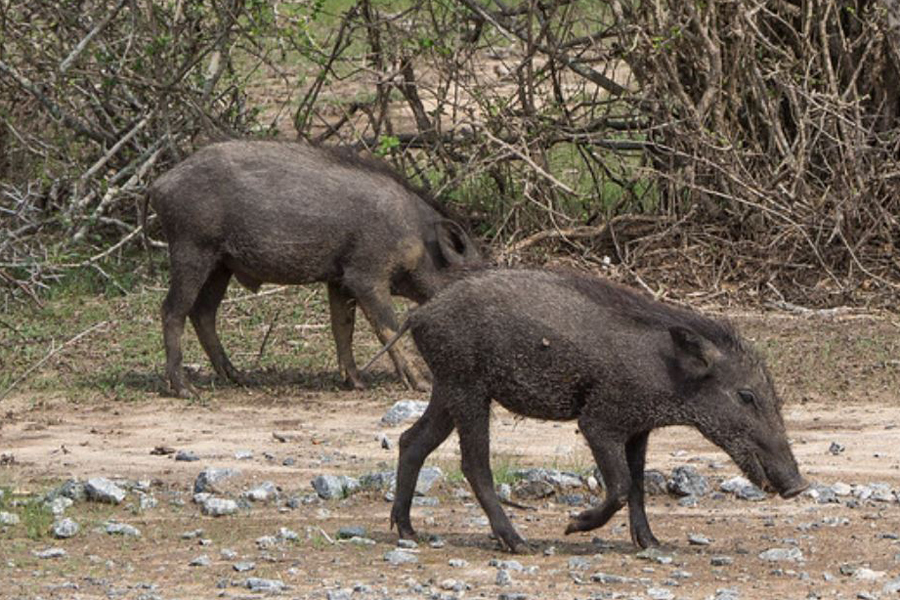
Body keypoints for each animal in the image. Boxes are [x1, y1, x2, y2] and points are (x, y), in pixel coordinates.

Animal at [145, 140, 480, 398]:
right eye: (475, 273)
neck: (417, 240)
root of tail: (159, 185)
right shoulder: (366, 276)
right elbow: (389, 328)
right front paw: (422, 384)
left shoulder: (339, 281)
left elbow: (342, 328)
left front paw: (357, 383)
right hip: (192, 251)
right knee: (172, 310)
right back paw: (186, 390)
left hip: (220, 266)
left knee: (203, 312)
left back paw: (239, 377)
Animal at [389, 268, 808, 552]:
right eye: (746, 396)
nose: (798, 486)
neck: (669, 374)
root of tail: (418, 315)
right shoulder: (599, 421)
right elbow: (620, 486)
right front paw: (573, 526)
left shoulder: (639, 430)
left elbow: (637, 485)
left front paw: (651, 543)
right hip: (468, 389)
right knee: (474, 465)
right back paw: (518, 542)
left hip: (448, 389)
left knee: (411, 440)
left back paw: (408, 531)